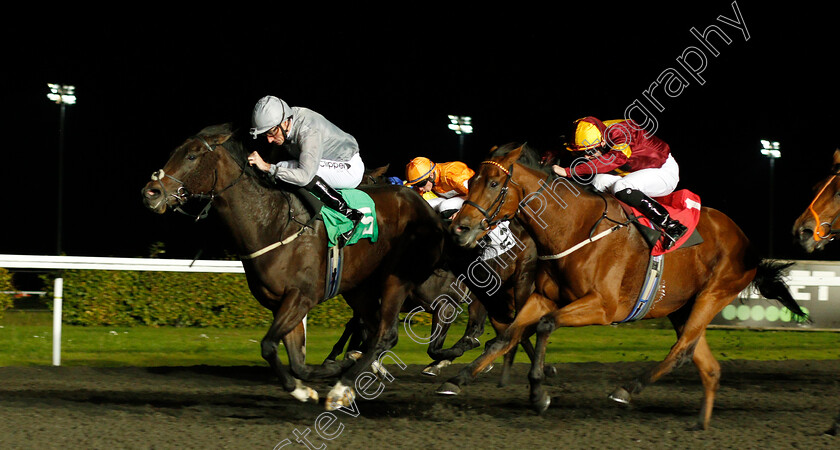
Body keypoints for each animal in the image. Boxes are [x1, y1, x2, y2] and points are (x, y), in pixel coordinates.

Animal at [141, 124, 450, 412]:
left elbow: (268, 346)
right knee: (375, 331)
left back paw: (343, 388)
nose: (150, 193)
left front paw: (321, 379)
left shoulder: (301, 296)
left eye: (192, 155)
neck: (272, 222)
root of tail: (429, 211)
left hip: (396, 280)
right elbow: (296, 361)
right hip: (360, 289)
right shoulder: (281, 302)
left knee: (387, 334)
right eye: (174, 152)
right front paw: (310, 384)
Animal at [442, 143, 804, 428]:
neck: (576, 227)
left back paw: (626, 390)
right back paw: (700, 424)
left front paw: (538, 391)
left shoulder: (603, 306)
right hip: (681, 307)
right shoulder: (543, 297)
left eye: (493, 183)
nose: (460, 228)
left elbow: (545, 326)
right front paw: (458, 379)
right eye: (470, 181)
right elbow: (505, 337)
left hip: (712, 295)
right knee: (707, 365)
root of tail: (747, 244)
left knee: (682, 351)